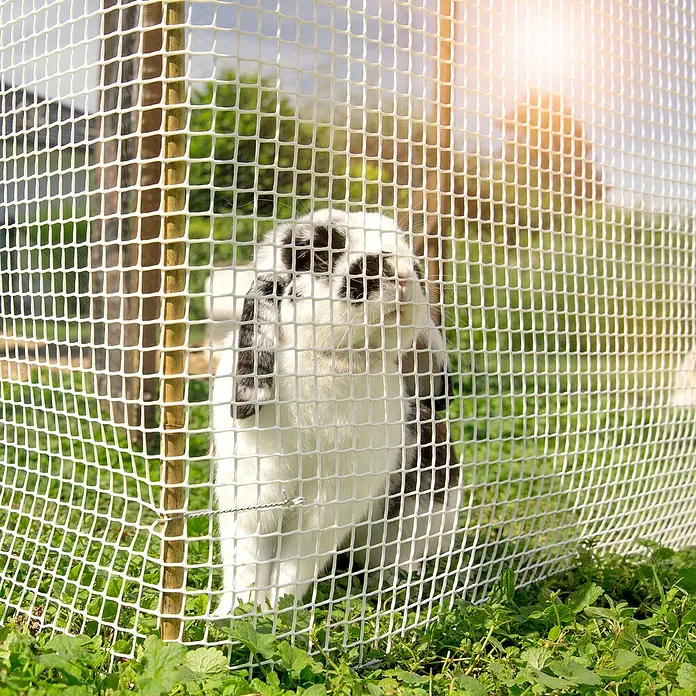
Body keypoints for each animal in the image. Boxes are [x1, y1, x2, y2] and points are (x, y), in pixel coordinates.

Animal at [211, 209, 453, 615]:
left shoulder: (329, 508)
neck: (332, 359)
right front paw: (237, 613)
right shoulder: (252, 492)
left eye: (416, 264)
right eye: (317, 255)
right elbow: (247, 559)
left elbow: (295, 562)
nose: (405, 275)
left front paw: (278, 608)